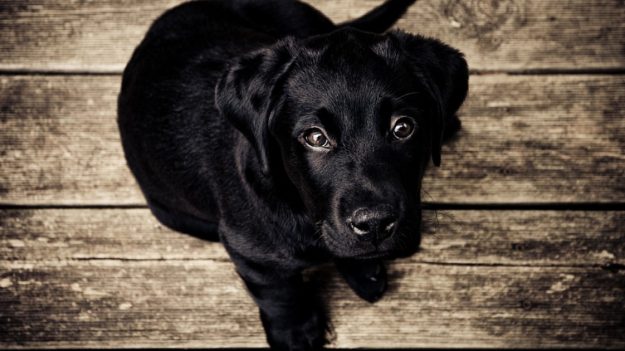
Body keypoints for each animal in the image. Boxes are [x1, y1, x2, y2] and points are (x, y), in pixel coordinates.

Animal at [119, 1, 466, 350]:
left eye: (403, 127)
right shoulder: (250, 253)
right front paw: (296, 333)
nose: (375, 224)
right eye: (315, 137)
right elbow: (279, 293)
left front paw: (362, 268)